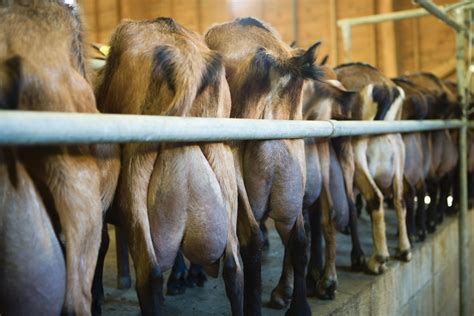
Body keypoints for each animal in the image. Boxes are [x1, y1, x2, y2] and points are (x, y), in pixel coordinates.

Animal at [334, 62, 412, 274]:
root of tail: (384, 89)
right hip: (397, 146)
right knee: (399, 199)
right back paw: (404, 250)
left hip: (356, 148)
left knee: (374, 197)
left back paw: (376, 259)